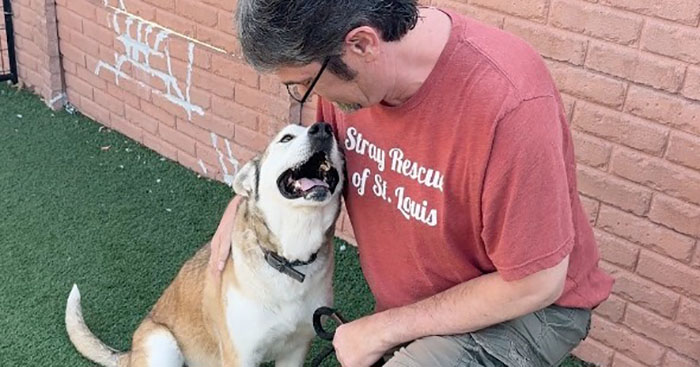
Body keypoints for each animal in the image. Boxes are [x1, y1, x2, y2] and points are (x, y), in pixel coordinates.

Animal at [67, 122, 346, 366]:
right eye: (286, 138)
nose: (323, 128)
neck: (289, 261)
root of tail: (130, 354)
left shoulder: (295, 349)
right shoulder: (240, 356)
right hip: (162, 344)